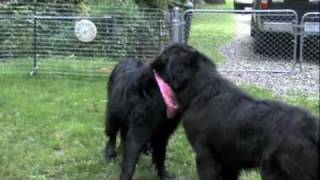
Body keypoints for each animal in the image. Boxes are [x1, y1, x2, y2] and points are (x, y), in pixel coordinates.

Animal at [151, 43, 318, 180]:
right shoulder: (231, 163)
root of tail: (312, 129)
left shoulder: (205, 155)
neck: (202, 90)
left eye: (164, 56)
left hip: (272, 172)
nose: (152, 64)